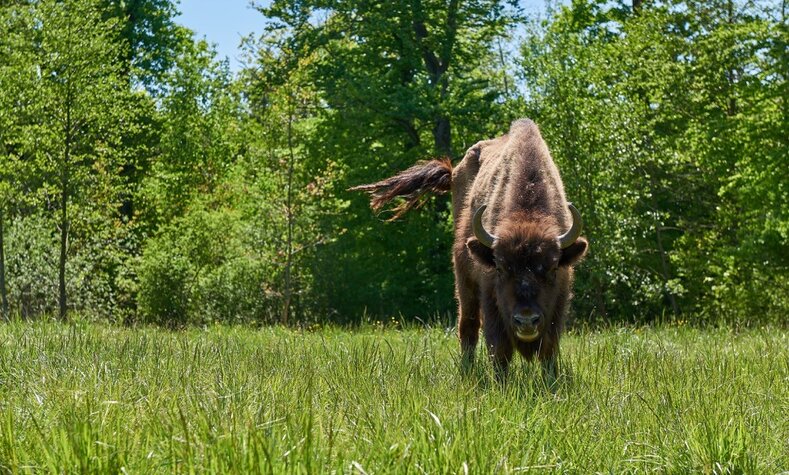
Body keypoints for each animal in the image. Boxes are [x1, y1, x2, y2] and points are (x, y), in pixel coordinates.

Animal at [350, 120, 584, 384]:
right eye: (500, 267)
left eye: (552, 267)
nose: (526, 320)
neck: (527, 212)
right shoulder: (489, 295)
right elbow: (498, 346)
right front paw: (501, 383)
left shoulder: (558, 302)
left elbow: (549, 348)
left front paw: (550, 381)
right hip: (464, 280)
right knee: (468, 326)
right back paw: (467, 370)